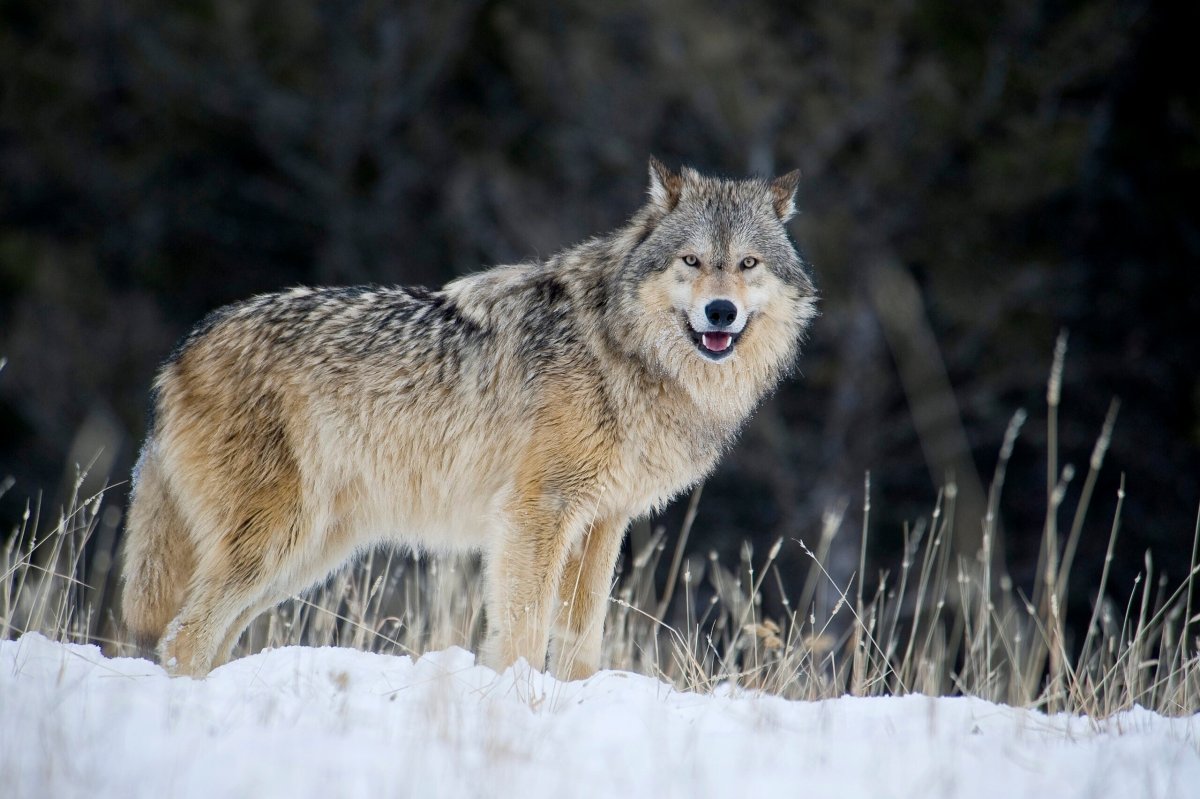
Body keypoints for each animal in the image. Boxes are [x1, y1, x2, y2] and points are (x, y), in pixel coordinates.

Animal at [121, 159, 817, 678]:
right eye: (692, 262)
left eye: (748, 264)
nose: (721, 312)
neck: (621, 350)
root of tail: (180, 353)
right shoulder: (536, 513)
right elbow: (523, 629)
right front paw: (516, 698)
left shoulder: (602, 523)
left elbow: (581, 640)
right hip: (278, 540)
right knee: (183, 636)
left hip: (306, 554)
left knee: (206, 637)